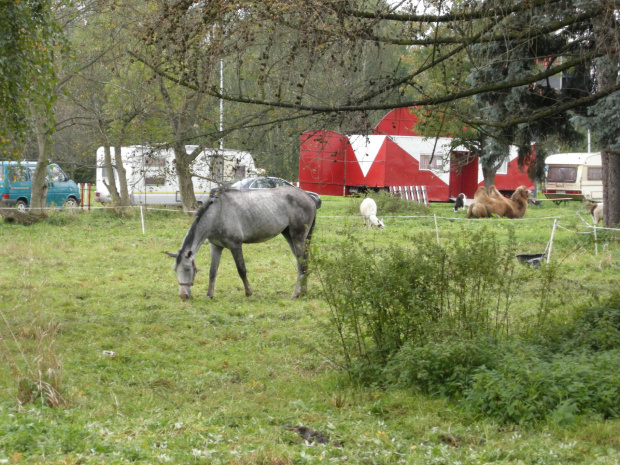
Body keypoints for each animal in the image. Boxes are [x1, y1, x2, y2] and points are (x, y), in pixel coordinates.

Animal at [167, 186, 318, 300]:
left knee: (302, 263)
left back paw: (296, 294)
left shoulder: (235, 245)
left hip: (298, 237)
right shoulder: (215, 247)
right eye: (175, 270)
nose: (183, 296)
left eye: (187, 269)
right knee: (302, 263)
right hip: (290, 236)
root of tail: (308, 197)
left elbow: (241, 270)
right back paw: (303, 292)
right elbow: (212, 271)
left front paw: (248, 292)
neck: (218, 214)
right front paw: (209, 295)